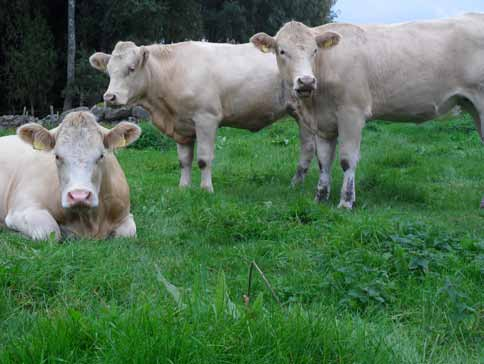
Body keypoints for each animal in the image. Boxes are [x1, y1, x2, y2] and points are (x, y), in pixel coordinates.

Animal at [0, 111, 140, 242]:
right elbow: (50, 232)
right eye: (57, 156)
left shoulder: (125, 215)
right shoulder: (21, 209)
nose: (79, 196)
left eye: (101, 155)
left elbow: (128, 234)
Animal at [251, 13, 484, 208]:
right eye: (282, 51)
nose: (306, 81)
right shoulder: (322, 123)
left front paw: (346, 202)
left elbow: (347, 159)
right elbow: (324, 161)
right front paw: (320, 197)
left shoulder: (352, 113)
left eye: (314, 51)